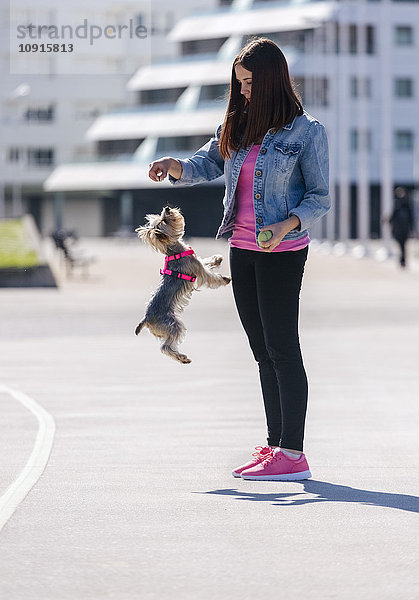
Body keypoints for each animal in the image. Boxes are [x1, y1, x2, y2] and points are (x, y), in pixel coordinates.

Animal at [136, 206, 231, 366]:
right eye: (165, 220)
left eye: (162, 217)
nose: (167, 208)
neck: (174, 250)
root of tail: (146, 320)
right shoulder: (199, 270)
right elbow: (211, 276)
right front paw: (224, 278)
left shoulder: (197, 262)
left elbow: (206, 261)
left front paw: (217, 259)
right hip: (173, 325)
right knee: (166, 346)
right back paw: (183, 358)